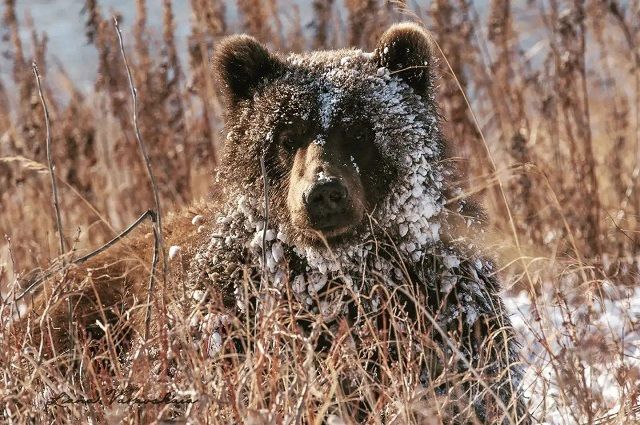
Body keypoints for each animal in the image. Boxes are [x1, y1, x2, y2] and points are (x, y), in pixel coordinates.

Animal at [20, 24, 528, 424]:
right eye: (286, 135)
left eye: (359, 130)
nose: (323, 192)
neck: (333, 273)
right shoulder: (230, 312)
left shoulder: (446, 309)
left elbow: (470, 386)